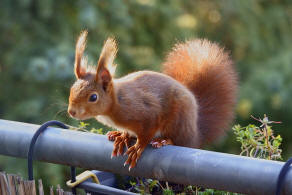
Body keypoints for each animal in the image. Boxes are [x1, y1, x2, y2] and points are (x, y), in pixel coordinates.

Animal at [68, 30, 237, 171]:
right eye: (72, 89)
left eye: (93, 97)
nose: (71, 112)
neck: (116, 102)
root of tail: (196, 132)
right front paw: (123, 136)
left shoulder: (146, 113)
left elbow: (147, 133)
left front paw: (138, 147)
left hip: (178, 120)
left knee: (179, 140)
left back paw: (164, 141)